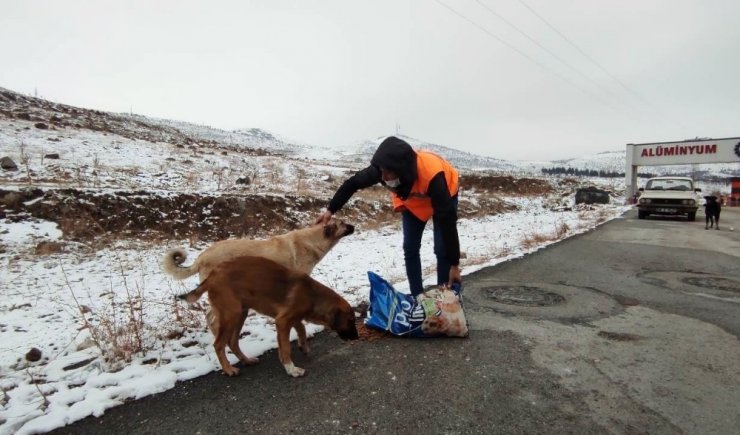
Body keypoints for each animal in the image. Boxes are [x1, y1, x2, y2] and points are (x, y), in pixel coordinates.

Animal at [176, 255, 356, 378]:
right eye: (350, 321)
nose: (357, 337)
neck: (312, 295)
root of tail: (212, 275)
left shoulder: (291, 318)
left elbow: (301, 329)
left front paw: (303, 346)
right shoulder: (282, 321)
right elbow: (286, 347)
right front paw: (291, 369)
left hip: (241, 312)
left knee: (232, 342)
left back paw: (246, 360)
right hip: (231, 314)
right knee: (219, 344)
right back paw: (228, 369)